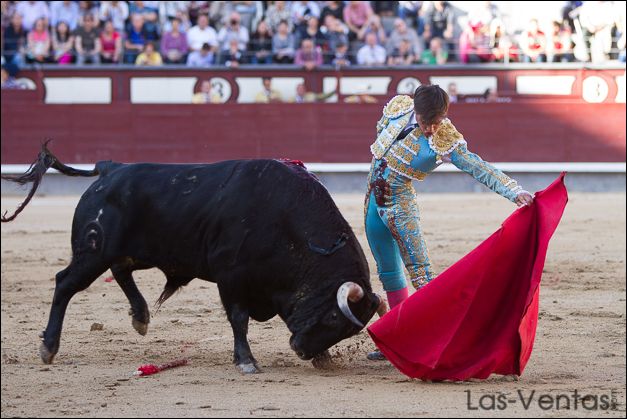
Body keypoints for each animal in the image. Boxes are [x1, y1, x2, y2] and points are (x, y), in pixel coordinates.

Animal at [0, 144, 380, 374]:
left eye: (345, 330)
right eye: (332, 317)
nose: (302, 351)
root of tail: (112, 169)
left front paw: (323, 357)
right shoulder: (231, 277)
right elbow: (239, 319)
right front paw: (247, 362)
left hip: (140, 250)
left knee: (121, 270)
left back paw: (141, 317)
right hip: (93, 251)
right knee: (65, 283)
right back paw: (49, 347)